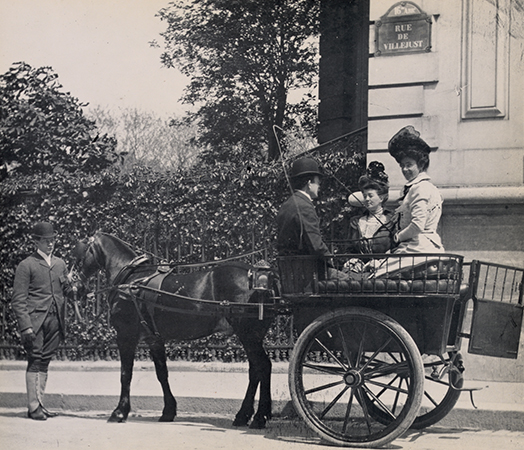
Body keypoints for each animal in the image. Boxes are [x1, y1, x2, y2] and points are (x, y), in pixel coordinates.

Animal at [75, 232, 276, 428]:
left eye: (77, 252)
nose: (74, 288)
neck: (130, 280)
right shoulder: (154, 338)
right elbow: (162, 373)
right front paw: (168, 411)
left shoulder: (126, 335)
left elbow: (126, 374)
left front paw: (119, 412)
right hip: (251, 337)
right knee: (255, 370)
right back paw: (244, 415)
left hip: (248, 335)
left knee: (263, 366)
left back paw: (259, 417)